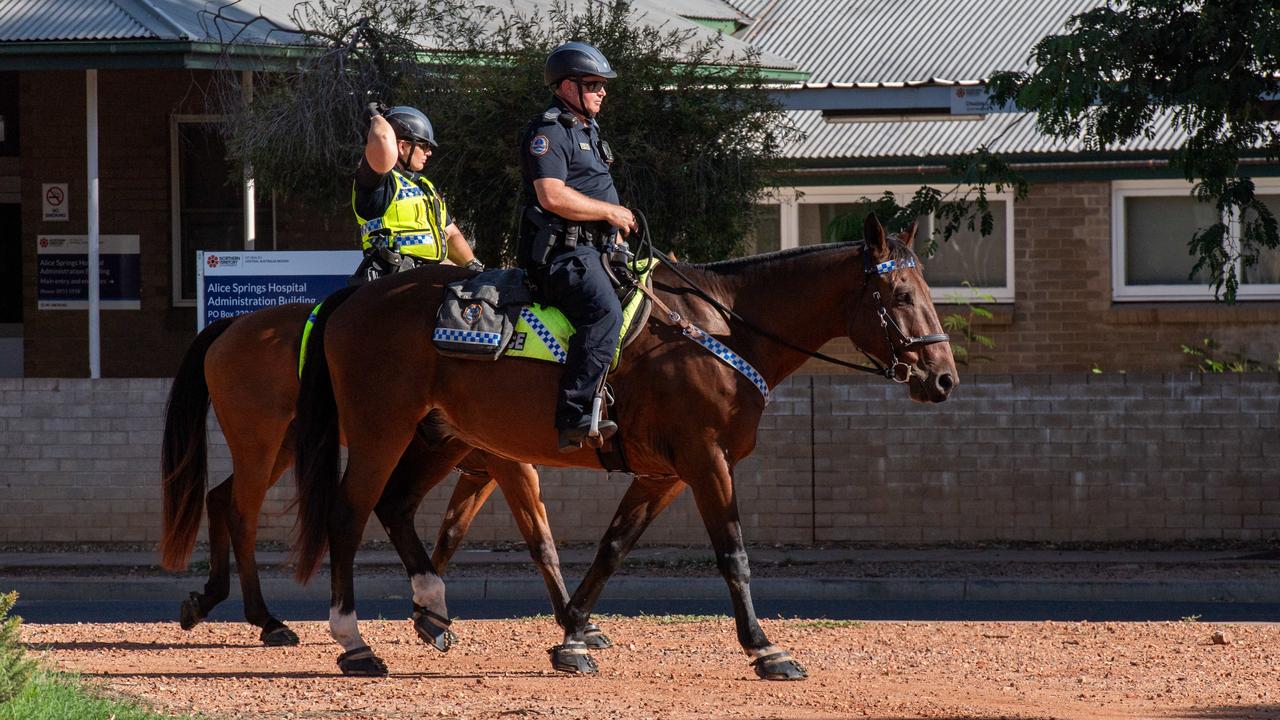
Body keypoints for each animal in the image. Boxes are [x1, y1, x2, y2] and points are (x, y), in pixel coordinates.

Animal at [158, 288, 604, 648]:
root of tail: (233, 325)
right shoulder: (507, 464)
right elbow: (539, 541)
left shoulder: (480, 471)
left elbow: (450, 534)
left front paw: (428, 612)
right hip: (260, 444)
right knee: (242, 514)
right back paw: (266, 620)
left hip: (280, 448)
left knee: (219, 498)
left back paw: (208, 599)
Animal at [294, 215, 957, 676]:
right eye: (901, 296)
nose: (944, 378)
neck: (721, 331)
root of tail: (358, 297)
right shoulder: (706, 462)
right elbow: (733, 555)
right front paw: (765, 649)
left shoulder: (664, 476)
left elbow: (611, 549)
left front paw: (572, 634)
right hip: (383, 431)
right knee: (349, 515)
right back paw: (354, 643)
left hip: (440, 438)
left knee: (397, 506)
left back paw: (431, 608)